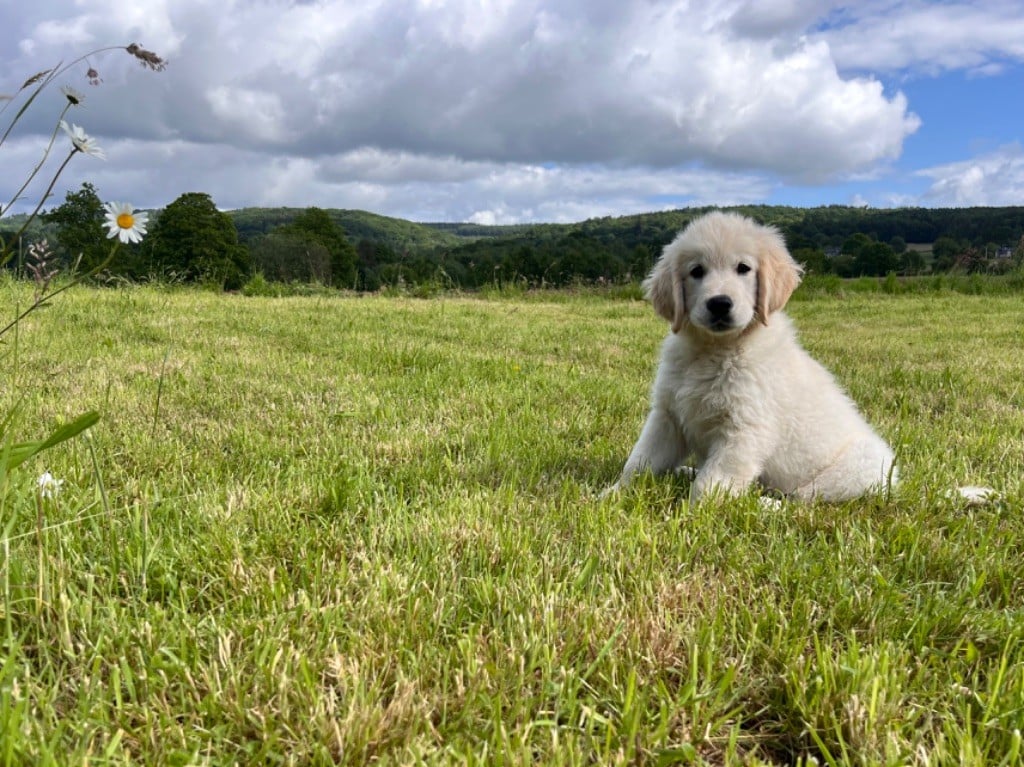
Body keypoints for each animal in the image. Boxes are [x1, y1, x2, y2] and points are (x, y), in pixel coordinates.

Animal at [610, 210, 892, 501]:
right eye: (696, 271)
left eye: (743, 268)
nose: (719, 303)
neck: (716, 349)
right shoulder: (668, 416)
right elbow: (639, 462)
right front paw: (611, 496)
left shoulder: (744, 428)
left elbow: (711, 484)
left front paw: (694, 510)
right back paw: (685, 471)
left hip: (858, 470)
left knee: (799, 499)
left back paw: (764, 503)